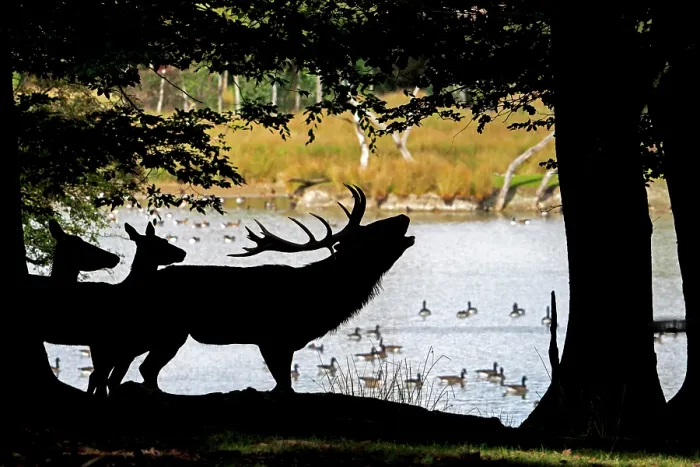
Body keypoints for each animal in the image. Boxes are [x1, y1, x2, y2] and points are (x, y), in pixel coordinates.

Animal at [104, 184, 415, 394]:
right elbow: (284, 387)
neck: (320, 299)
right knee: (140, 368)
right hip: (166, 330)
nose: (402, 217)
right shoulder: (273, 338)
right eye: (371, 232)